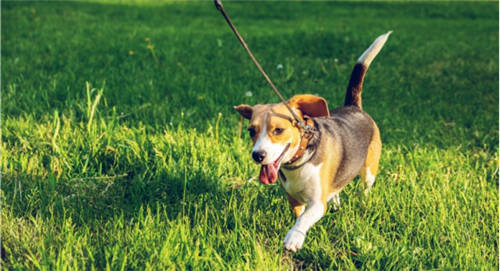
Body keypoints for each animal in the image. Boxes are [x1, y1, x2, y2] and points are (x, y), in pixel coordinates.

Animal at [234, 31, 390, 253]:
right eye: (251, 131)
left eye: (278, 130)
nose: (258, 155)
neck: (299, 160)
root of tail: (354, 107)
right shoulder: (293, 198)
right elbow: (299, 214)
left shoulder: (317, 203)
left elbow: (304, 219)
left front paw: (294, 237)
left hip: (369, 170)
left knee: (366, 187)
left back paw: (364, 201)